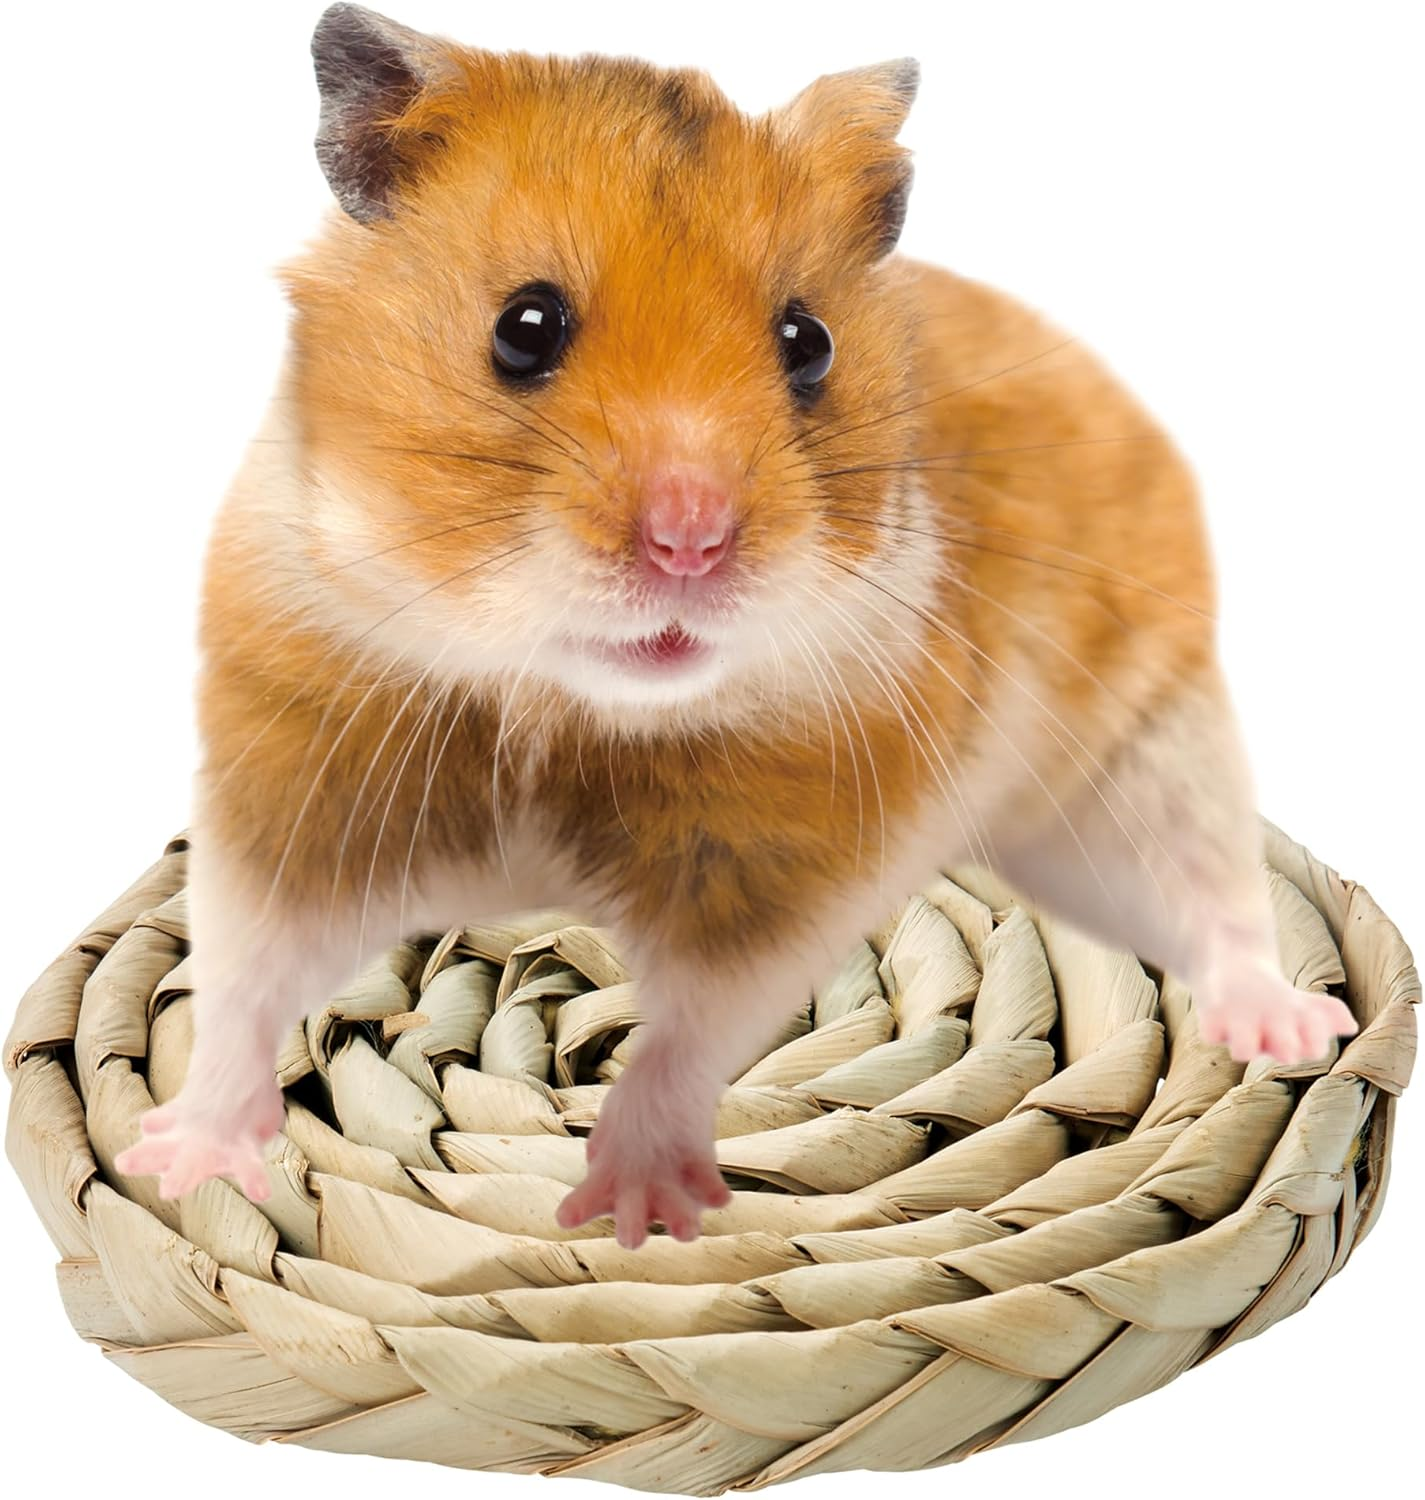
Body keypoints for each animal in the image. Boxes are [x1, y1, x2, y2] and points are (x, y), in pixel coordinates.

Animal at [115, 3, 1357, 1248]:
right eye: (524, 326)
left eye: (807, 341)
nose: (691, 543)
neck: (559, 700)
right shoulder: (292, 786)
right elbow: (241, 977)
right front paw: (179, 1165)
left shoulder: (786, 862)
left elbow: (694, 1030)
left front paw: (630, 1215)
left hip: (1153, 760)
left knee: (1221, 901)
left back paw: (1299, 1031)